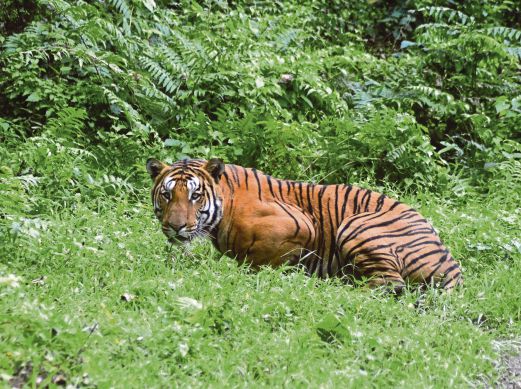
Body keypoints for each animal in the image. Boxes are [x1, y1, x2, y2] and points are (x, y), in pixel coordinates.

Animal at [146, 156, 464, 290]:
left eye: (195, 195)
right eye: (167, 194)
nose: (175, 226)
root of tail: (451, 264)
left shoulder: (300, 225)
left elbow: (259, 259)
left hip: (357, 225)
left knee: (391, 284)